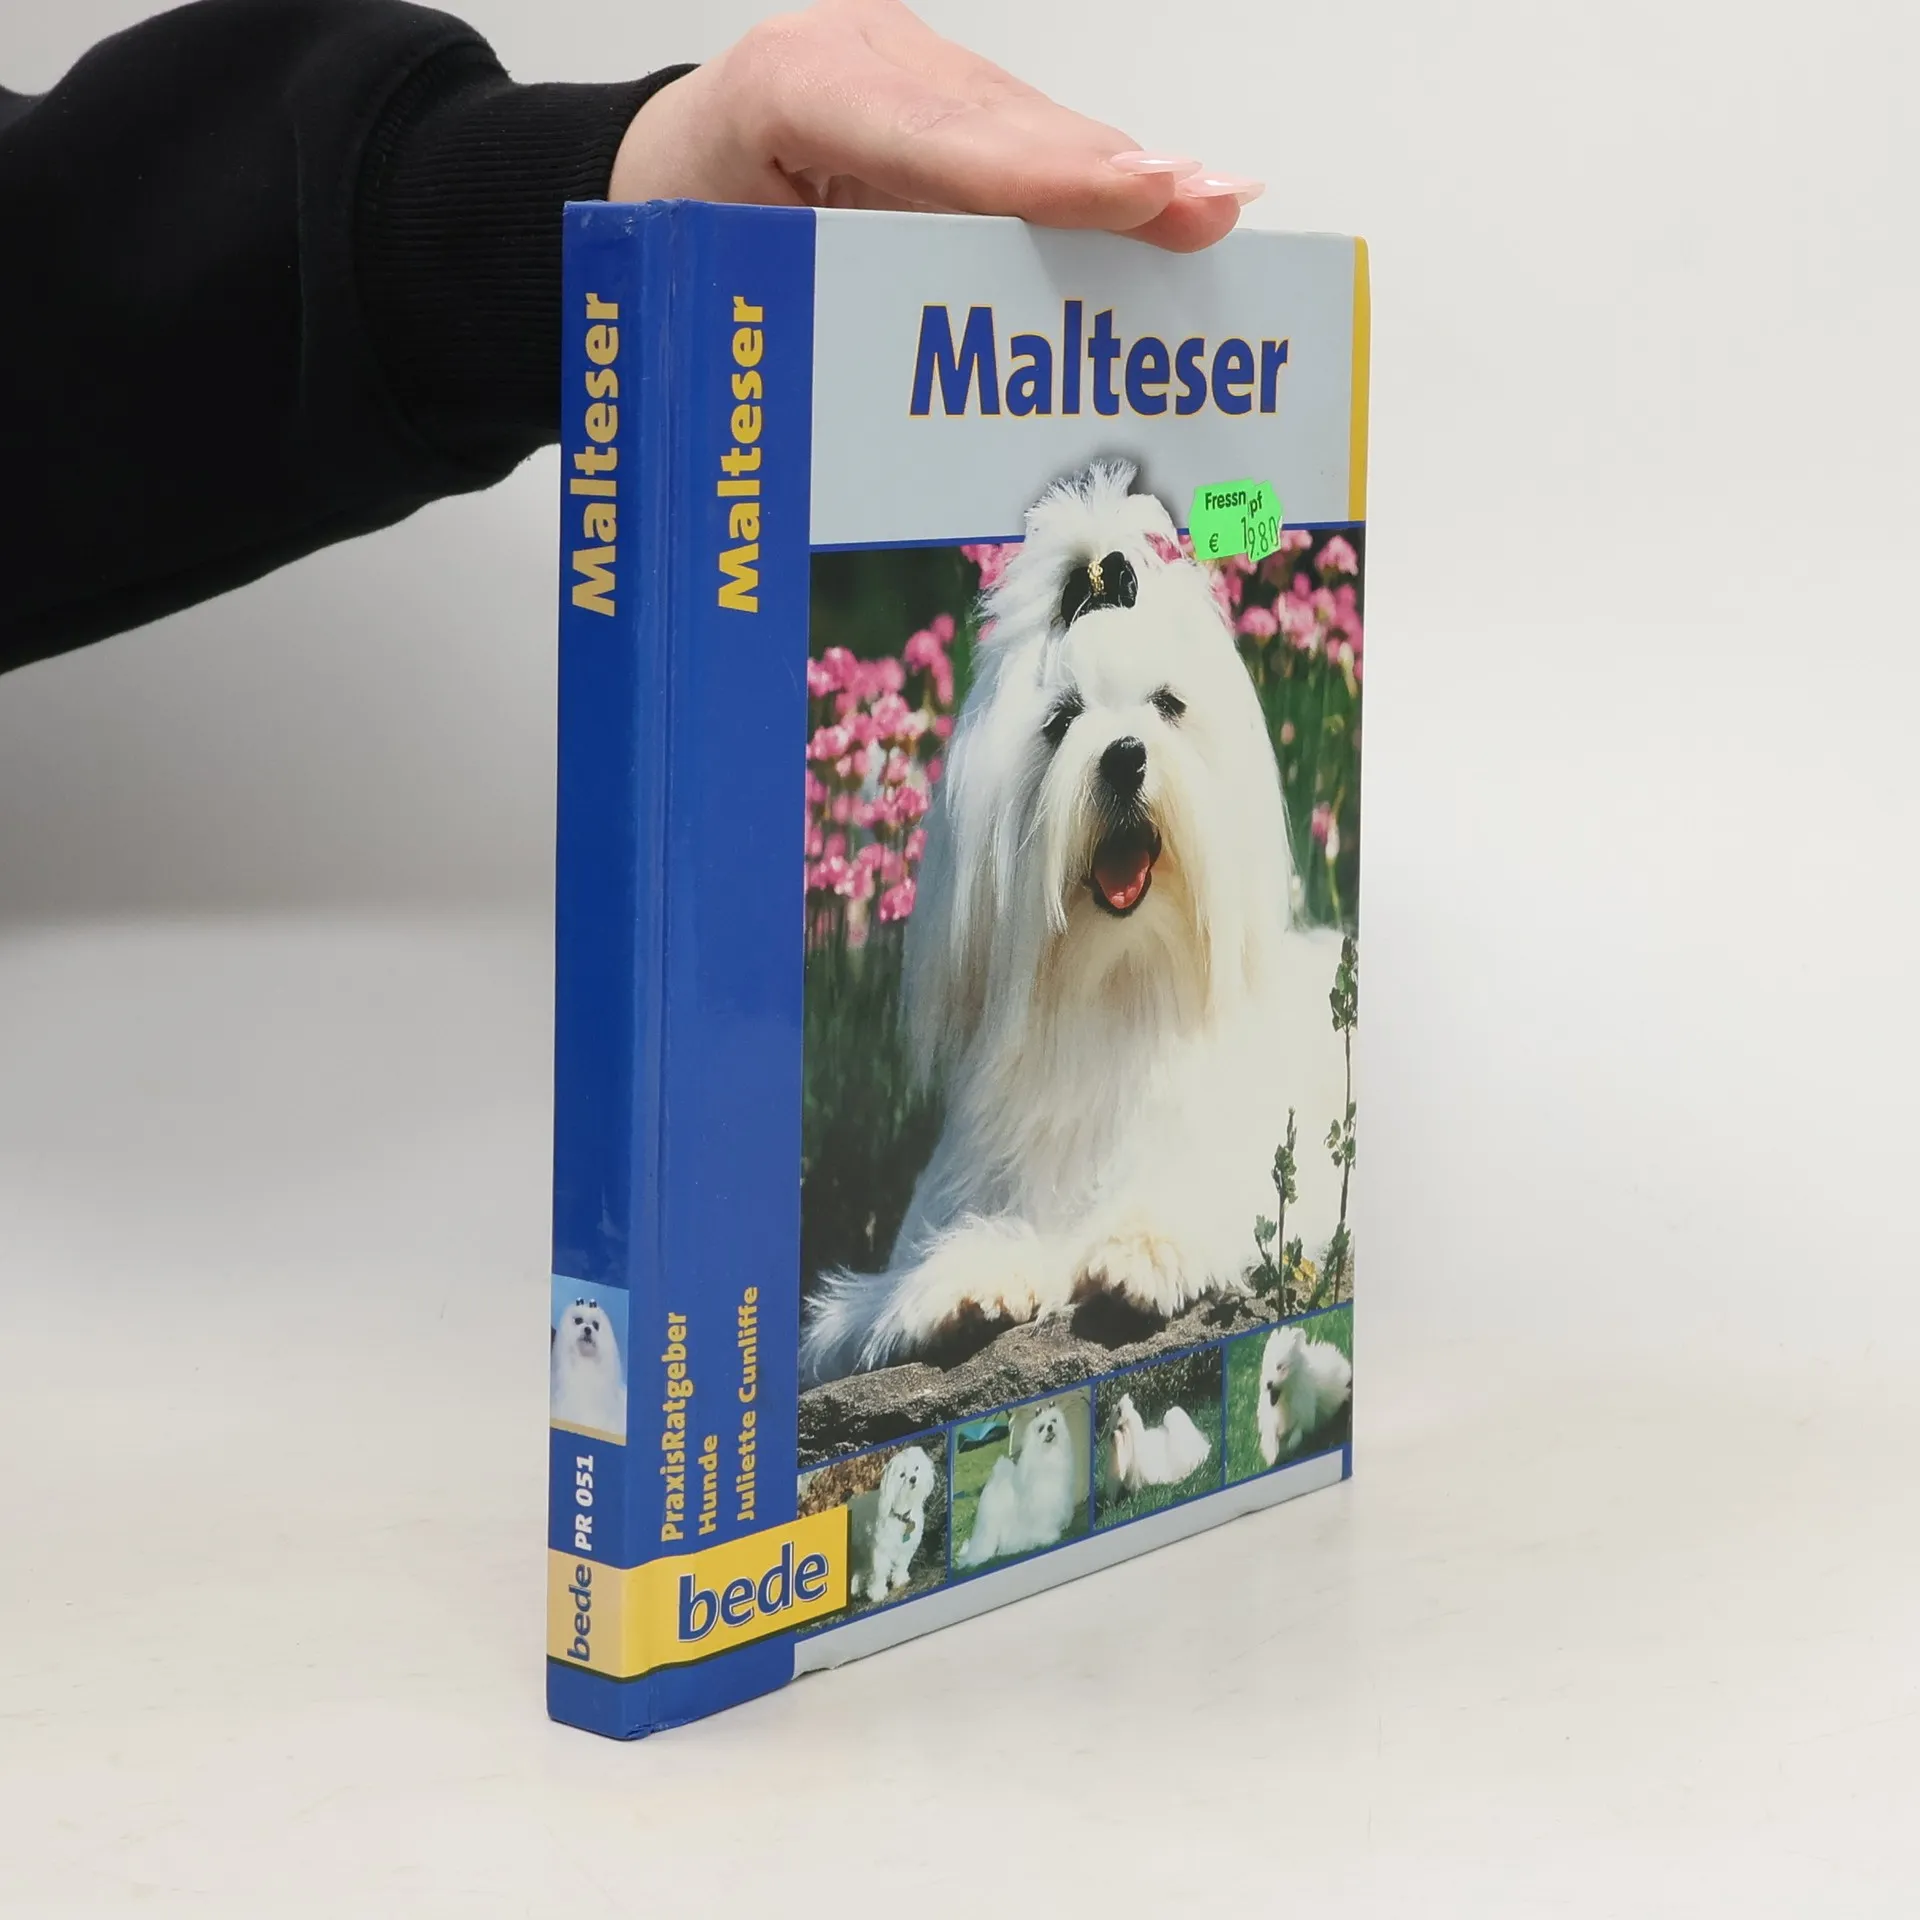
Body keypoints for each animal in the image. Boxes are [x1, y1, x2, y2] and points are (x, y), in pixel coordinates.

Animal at [801, 461, 1345, 1385]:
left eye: (1168, 705)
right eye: (1060, 722)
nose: (1123, 756)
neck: (1120, 987)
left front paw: (1145, 1247)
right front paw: (968, 1284)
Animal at [848, 1445, 937, 1603]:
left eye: (916, 1468)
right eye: (902, 1475)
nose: (913, 1479)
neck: (901, 1514)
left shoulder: (905, 1546)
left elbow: (902, 1564)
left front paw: (900, 1580)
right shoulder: (881, 1549)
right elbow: (879, 1572)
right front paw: (877, 1593)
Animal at [1255, 1325, 1352, 1466]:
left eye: (1280, 1366)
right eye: (1265, 1366)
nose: (1268, 1384)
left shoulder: (1304, 1414)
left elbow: (1298, 1432)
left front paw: (1290, 1446)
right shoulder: (1270, 1420)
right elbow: (1271, 1436)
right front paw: (1271, 1457)